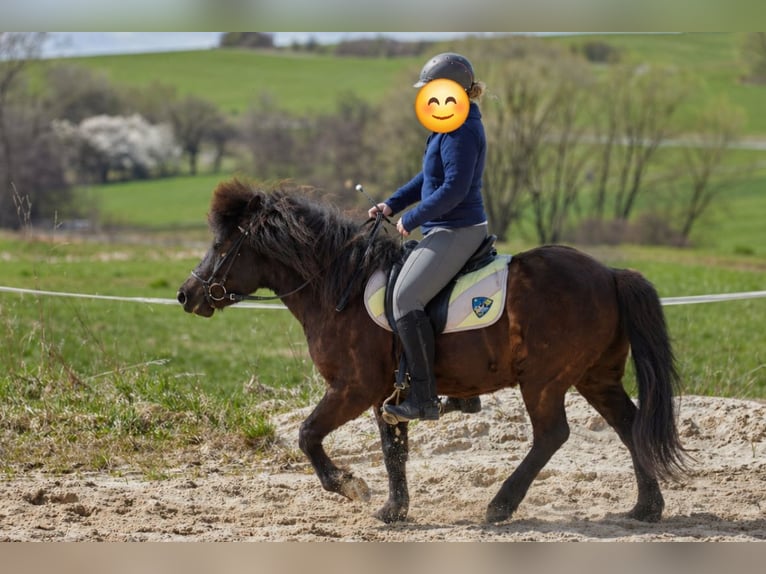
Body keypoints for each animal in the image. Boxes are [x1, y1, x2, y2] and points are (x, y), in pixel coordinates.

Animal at [177, 178, 687, 524]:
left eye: (221, 245)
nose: (186, 295)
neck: (338, 287)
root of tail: (610, 273)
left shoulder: (353, 387)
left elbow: (307, 434)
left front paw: (350, 487)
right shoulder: (385, 393)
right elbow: (393, 450)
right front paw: (393, 509)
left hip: (544, 380)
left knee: (552, 435)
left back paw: (500, 505)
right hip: (595, 376)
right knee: (629, 425)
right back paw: (646, 507)